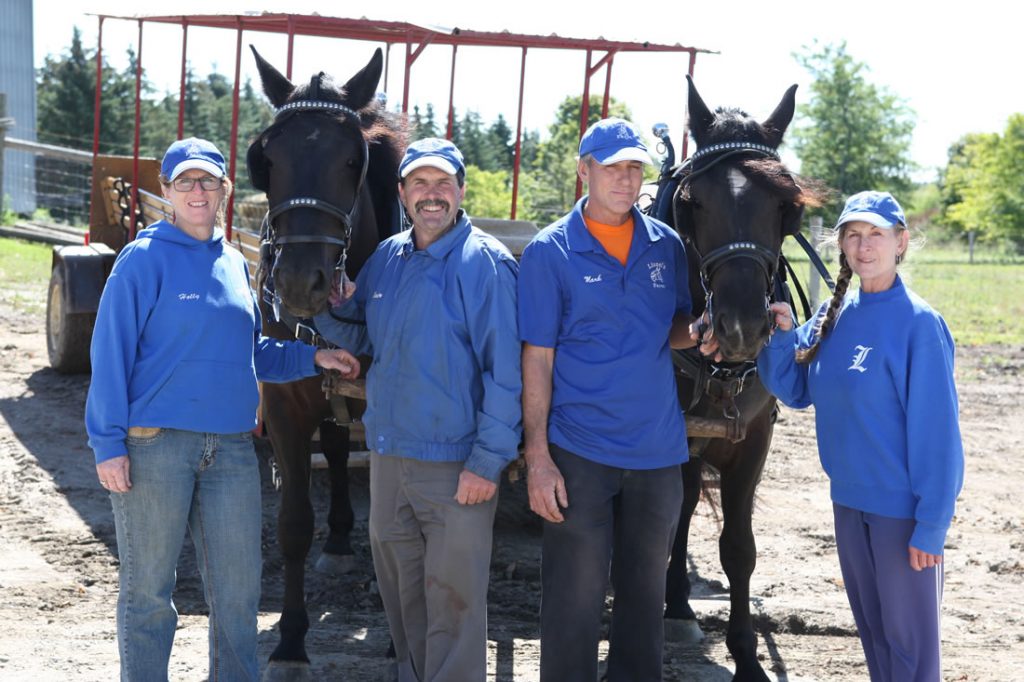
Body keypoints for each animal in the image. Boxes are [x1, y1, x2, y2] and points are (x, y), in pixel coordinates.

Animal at [655, 75, 823, 679]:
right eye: (692, 202)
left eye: (785, 206)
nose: (742, 326)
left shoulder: (754, 437)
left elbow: (739, 547)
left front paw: (748, 656)